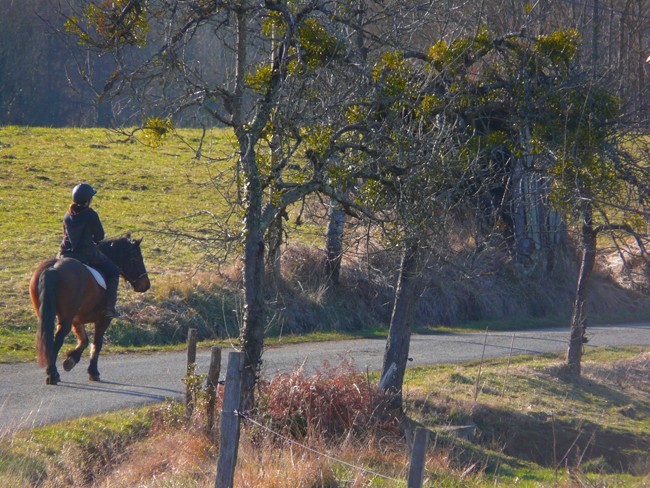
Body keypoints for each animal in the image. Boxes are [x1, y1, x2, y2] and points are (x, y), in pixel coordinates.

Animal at [29, 236, 150, 386]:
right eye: (137, 259)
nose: (146, 285)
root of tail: (52, 268)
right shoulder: (103, 320)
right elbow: (96, 343)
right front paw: (93, 372)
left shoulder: (76, 319)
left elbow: (84, 341)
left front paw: (71, 360)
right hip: (66, 318)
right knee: (57, 340)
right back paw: (52, 374)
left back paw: (53, 372)